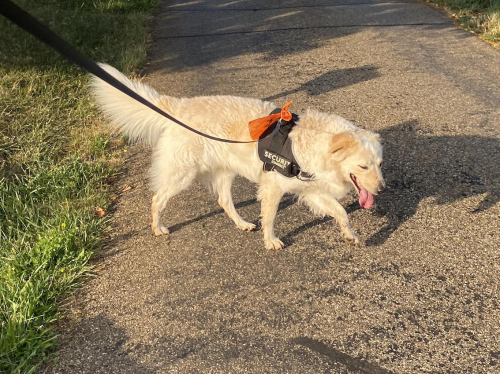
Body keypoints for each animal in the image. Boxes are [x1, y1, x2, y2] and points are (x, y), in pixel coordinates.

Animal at [91, 64, 386, 250]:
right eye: (363, 166)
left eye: (379, 165)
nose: (382, 189)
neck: (314, 143)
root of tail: (178, 106)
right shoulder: (273, 187)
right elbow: (270, 217)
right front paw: (271, 241)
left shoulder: (310, 190)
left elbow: (340, 213)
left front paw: (350, 235)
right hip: (182, 174)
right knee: (157, 200)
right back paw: (158, 227)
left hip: (224, 172)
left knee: (224, 201)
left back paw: (243, 224)